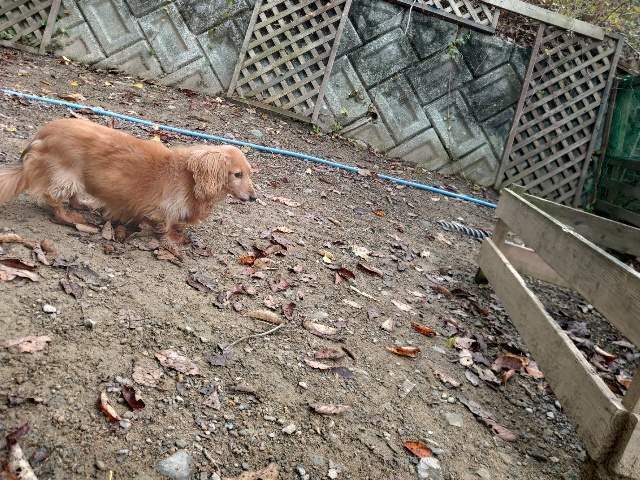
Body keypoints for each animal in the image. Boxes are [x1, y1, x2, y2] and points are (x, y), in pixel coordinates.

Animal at [0, 118, 256, 244]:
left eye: (249, 172)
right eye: (238, 174)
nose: (254, 198)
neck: (189, 177)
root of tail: (43, 132)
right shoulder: (165, 210)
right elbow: (168, 226)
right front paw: (174, 238)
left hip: (79, 176)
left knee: (72, 197)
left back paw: (83, 205)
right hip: (67, 175)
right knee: (52, 198)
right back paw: (69, 217)